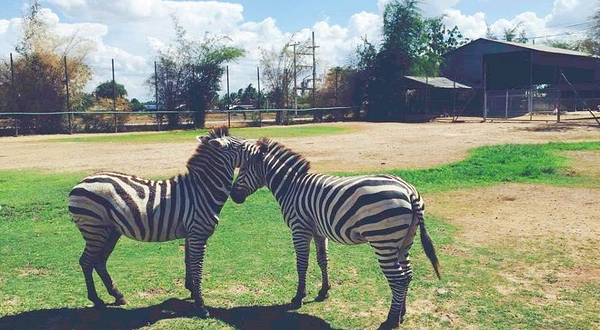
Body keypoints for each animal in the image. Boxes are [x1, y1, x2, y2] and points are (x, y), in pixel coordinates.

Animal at [69, 127, 254, 318]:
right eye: (244, 146)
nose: (261, 147)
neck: (202, 191)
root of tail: (80, 183)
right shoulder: (198, 233)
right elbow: (197, 268)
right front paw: (201, 305)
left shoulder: (190, 233)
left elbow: (188, 262)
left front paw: (192, 291)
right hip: (94, 229)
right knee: (86, 261)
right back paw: (96, 300)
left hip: (110, 231)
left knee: (99, 261)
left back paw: (118, 295)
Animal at [230, 138, 440, 328]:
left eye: (243, 169)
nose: (233, 196)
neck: (291, 186)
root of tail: (409, 190)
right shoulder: (318, 231)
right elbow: (322, 260)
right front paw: (324, 291)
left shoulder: (300, 228)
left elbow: (301, 263)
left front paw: (298, 297)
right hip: (405, 240)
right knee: (408, 275)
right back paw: (401, 314)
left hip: (383, 240)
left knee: (398, 279)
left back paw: (391, 320)